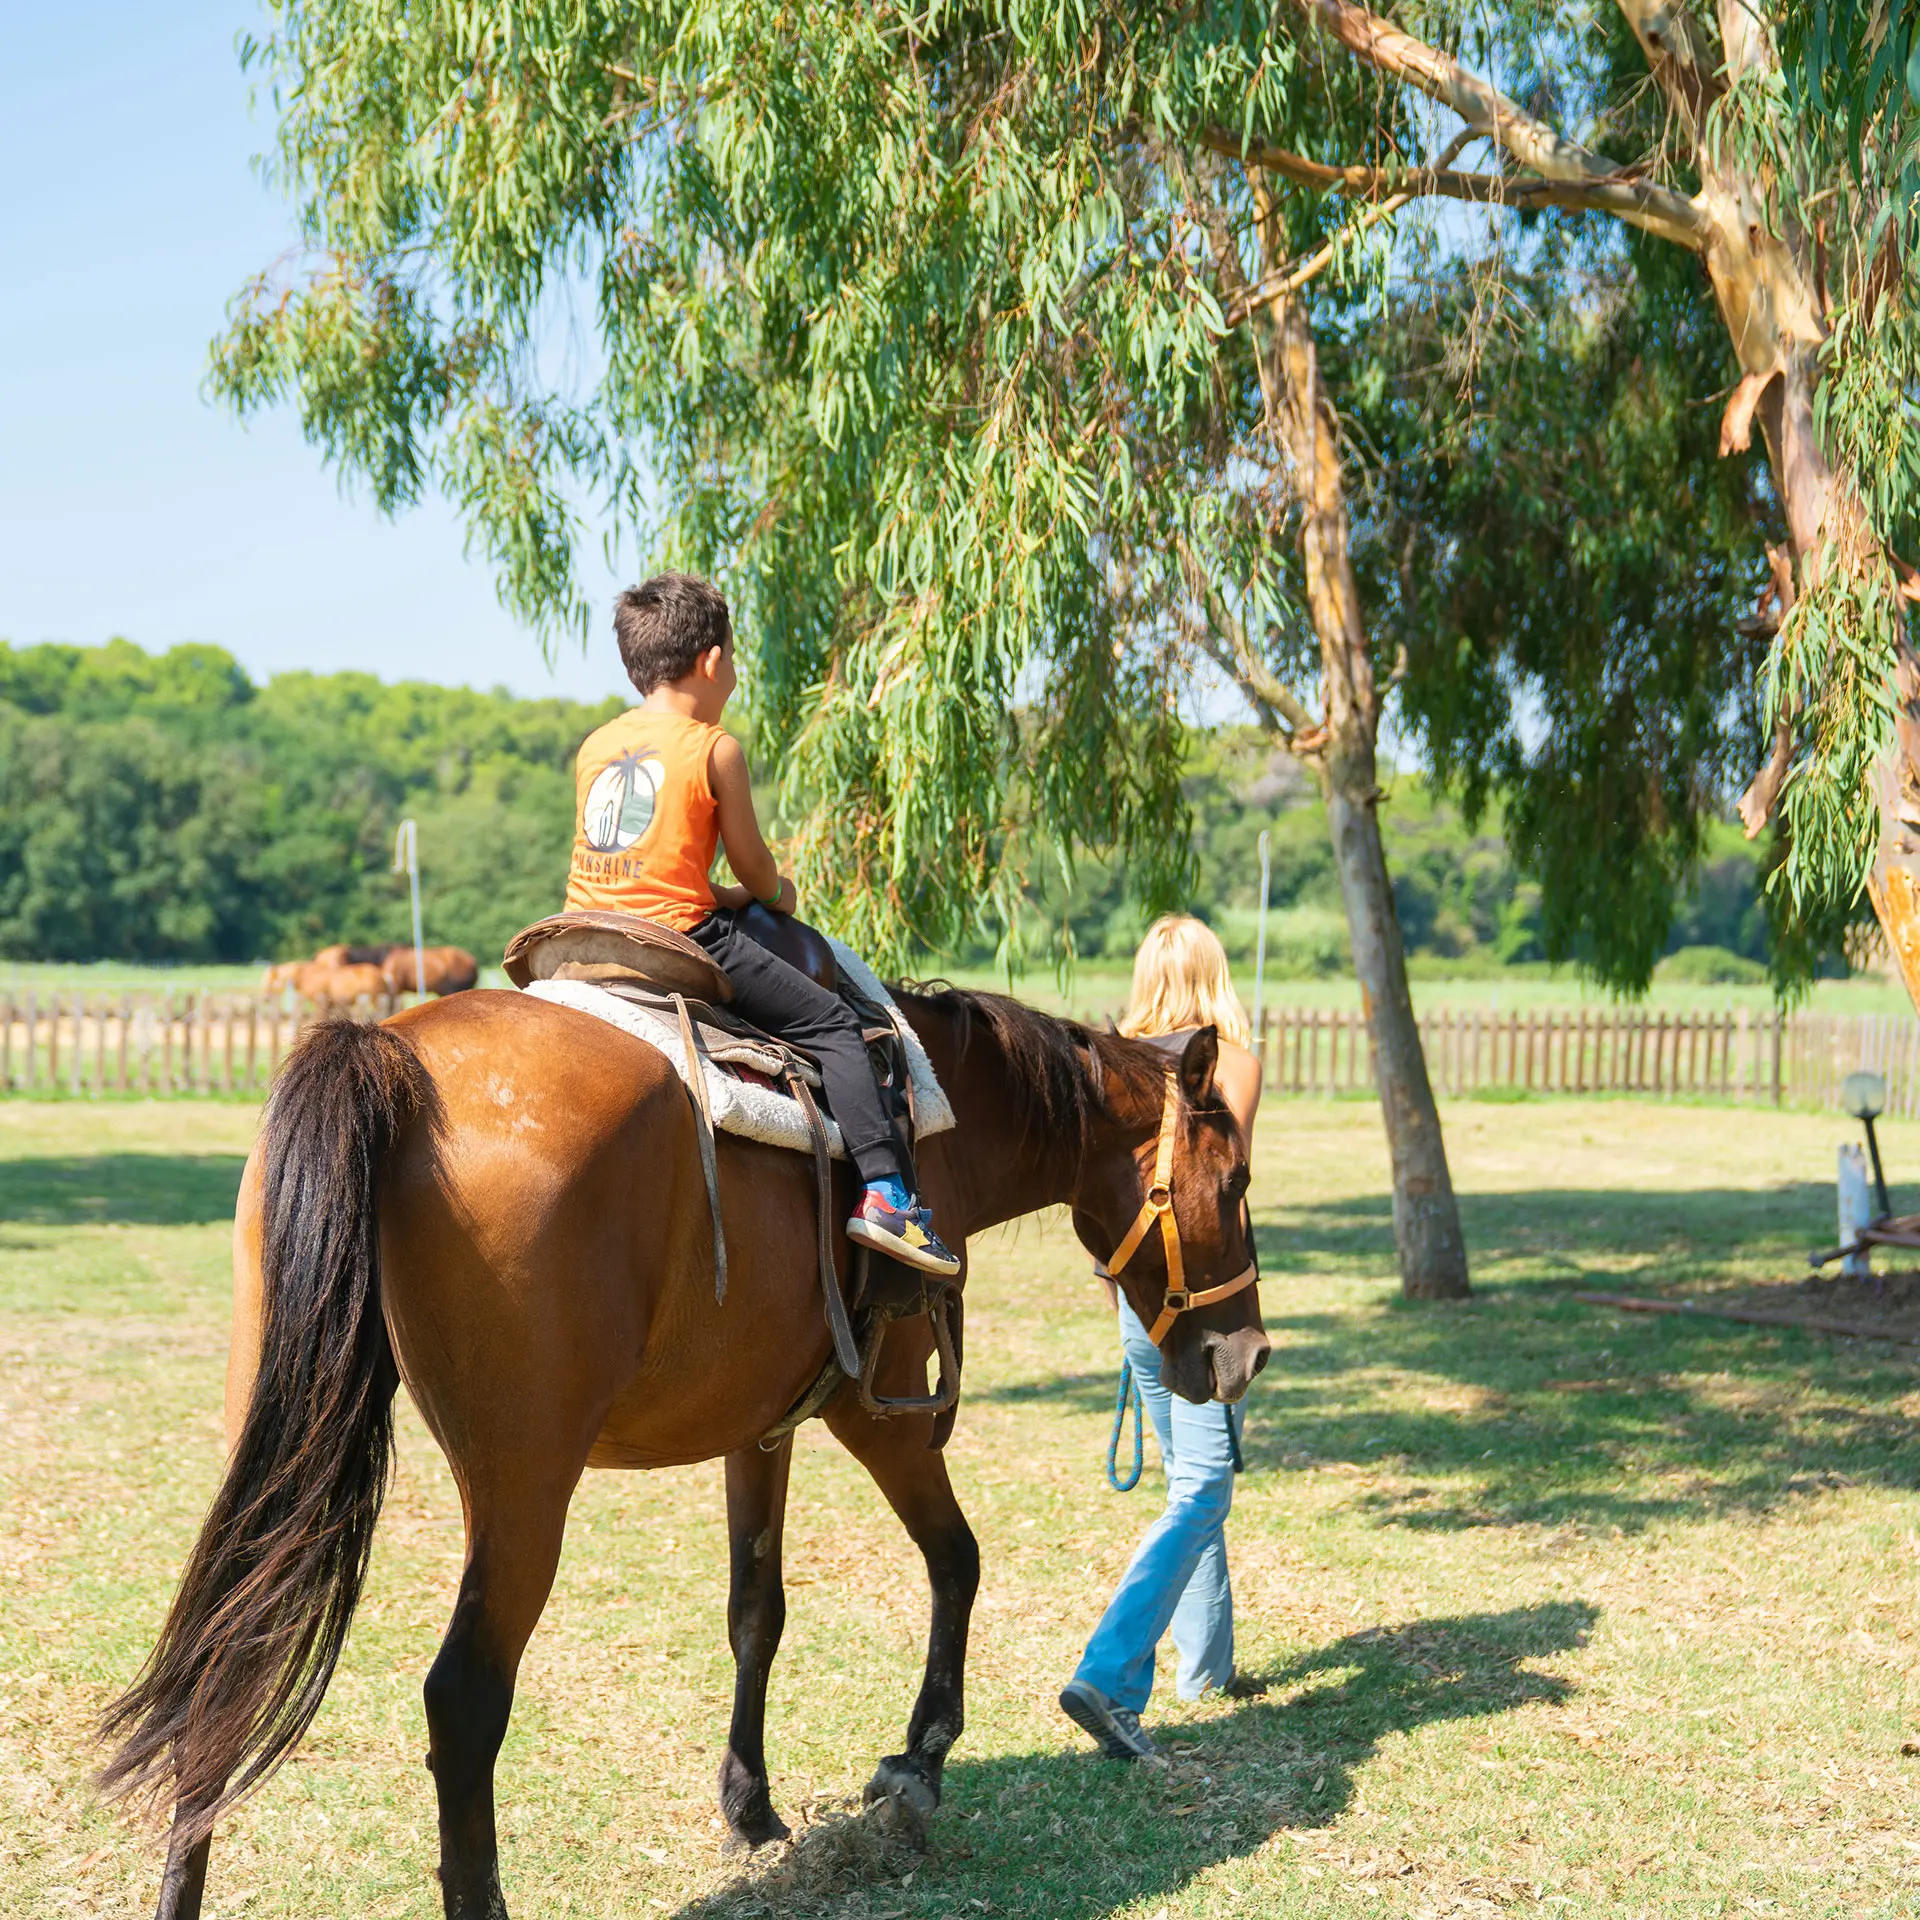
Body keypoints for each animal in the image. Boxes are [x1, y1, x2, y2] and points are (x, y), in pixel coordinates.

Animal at [99, 983, 1268, 1920]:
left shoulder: (763, 1427)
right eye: (1238, 1181)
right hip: (523, 1489)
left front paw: (749, 1805)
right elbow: (957, 1561)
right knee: (462, 1699)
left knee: (230, 1655)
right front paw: (921, 1758)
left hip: (285, 1445)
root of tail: (390, 1054)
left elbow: (757, 1610)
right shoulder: (879, 1416)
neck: (938, 1116)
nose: (1248, 1353)